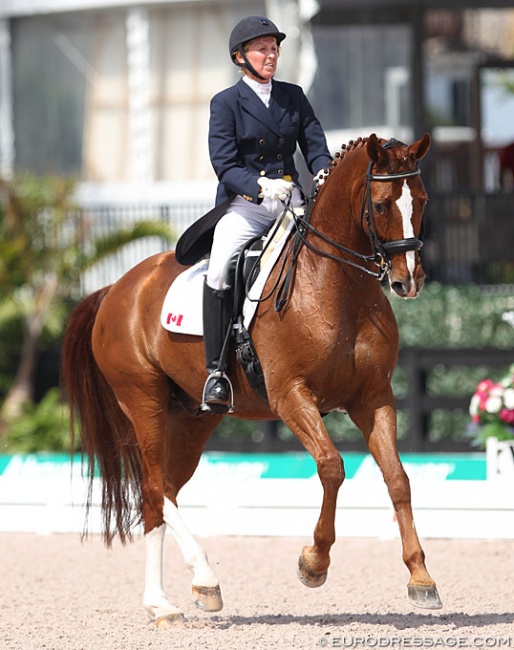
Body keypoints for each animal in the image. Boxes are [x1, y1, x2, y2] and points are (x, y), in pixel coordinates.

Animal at [62, 133, 440, 628]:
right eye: (379, 205)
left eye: (423, 200)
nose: (407, 280)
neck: (336, 285)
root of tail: (116, 289)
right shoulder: (291, 396)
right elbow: (332, 467)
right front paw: (313, 563)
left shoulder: (373, 397)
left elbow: (398, 478)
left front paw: (421, 578)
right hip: (143, 402)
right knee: (153, 487)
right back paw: (197, 582)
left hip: (194, 417)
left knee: (160, 494)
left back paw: (169, 600)